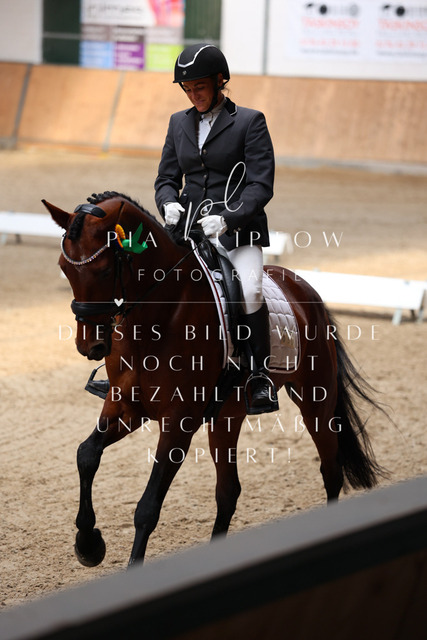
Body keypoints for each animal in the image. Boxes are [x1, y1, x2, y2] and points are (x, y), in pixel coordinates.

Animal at [43, 191, 385, 567]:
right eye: (63, 267)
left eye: (104, 270)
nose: (89, 346)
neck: (161, 313)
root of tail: (306, 290)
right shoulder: (126, 405)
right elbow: (86, 454)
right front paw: (88, 543)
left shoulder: (179, 421)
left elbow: (148, 507)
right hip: (226, 416)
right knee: (228, 491)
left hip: (315, 401)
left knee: (331, 471)